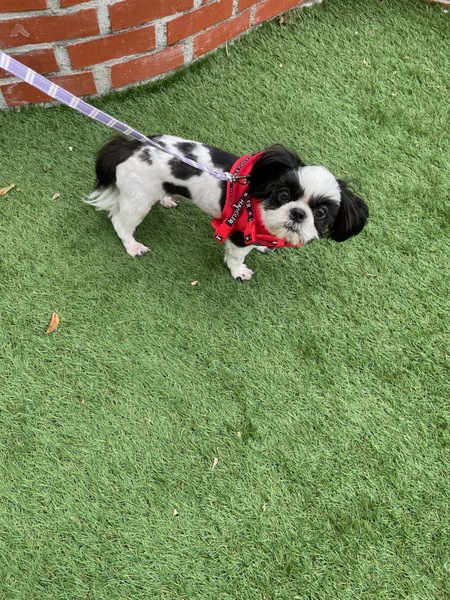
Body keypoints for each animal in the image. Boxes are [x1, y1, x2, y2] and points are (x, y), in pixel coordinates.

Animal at [86, 135, 368, 281]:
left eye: (321, 213)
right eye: (284, 194)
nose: (298, 213)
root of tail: (131, 144)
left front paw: (263, 247)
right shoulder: (237, 235)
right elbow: (236, 257)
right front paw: (239, 272)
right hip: (138, 200)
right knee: (120, 222)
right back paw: (132, 246)